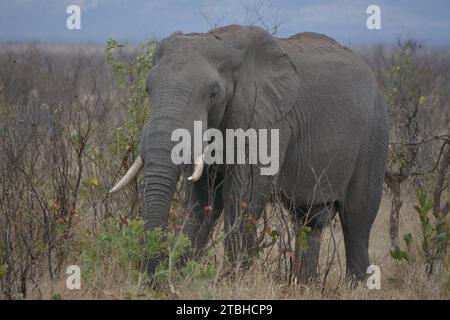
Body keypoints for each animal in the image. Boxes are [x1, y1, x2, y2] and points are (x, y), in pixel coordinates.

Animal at [110, 25, 388, 282]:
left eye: (213, 93)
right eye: (148, 89)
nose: (149, 279)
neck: (225, 42)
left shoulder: (267, 120)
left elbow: (242, 194)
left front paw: (231, 281)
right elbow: (203, 199)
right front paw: (177, 278)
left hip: (374, 137)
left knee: (357, 219)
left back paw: (356, 285)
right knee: (309, 220)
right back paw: (305, 285)